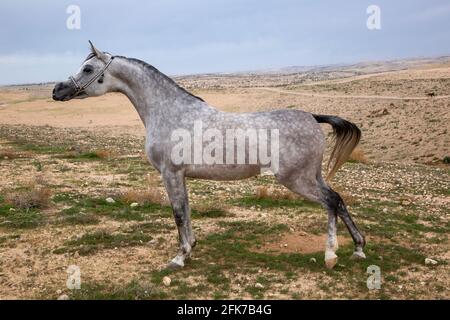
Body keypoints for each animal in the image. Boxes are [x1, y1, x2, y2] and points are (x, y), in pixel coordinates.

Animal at [52, 41, 366, 268]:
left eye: (88, 69)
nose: (57, 90)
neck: (169, 111)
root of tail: (313, 118)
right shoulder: (180, 176)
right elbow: (186, 211)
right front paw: (190, 248)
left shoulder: (170, 174)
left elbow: (179, 214)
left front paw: (180, 257)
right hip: (312, 176)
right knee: (338, 200)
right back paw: (359, 248)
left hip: (297, 180)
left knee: (331, 202)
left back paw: (331, 255)